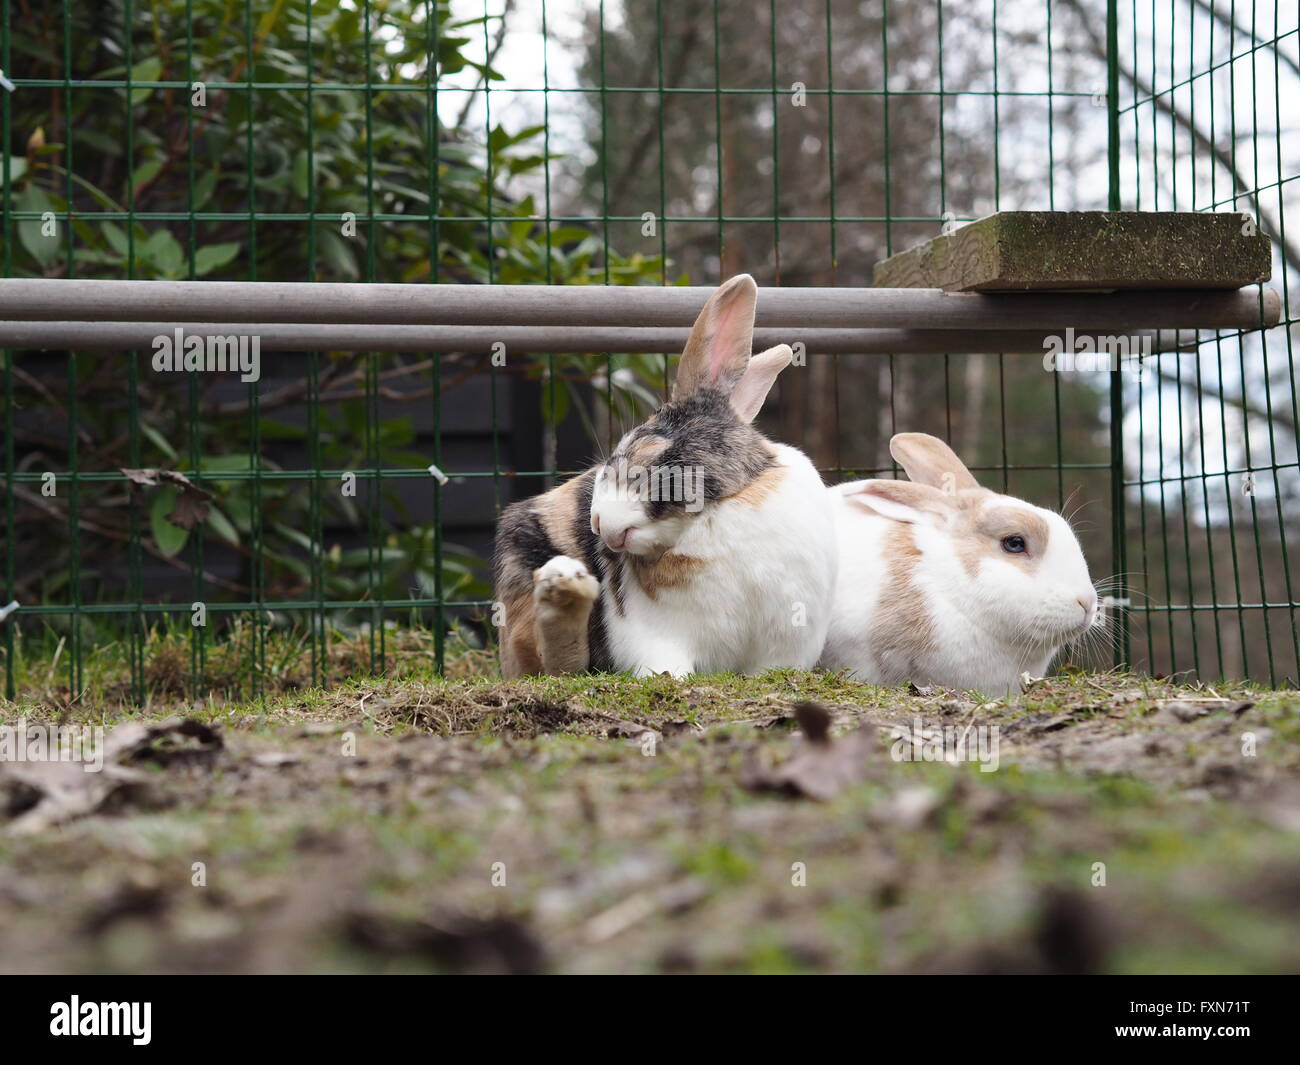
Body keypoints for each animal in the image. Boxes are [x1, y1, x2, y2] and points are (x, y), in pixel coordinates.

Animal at [491, 273, 837, 676]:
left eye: (646, 450)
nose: (599, 525)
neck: (723, 507)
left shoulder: (785, 648)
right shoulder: (656, 639)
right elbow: (667, 668)